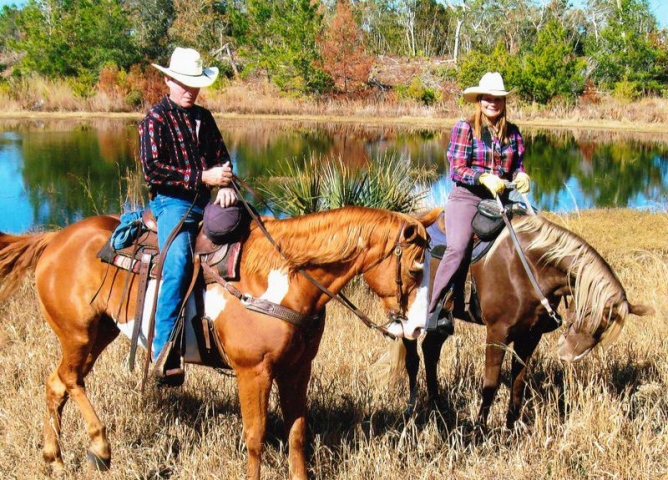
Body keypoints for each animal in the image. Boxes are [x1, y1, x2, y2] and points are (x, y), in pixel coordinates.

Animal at [1, 206, 444, 480]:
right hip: (78, 333)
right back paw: (100, 446)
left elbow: (297, 432)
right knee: (69, 380)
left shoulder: (297, 369)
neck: (281, 279)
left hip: (99, 333)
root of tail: (54, 239)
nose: (419, 328)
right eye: (414, 267)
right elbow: (256, 437)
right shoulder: (253, 372)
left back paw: (56, 460)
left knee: (57, 384)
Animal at [388, 212, 656, 430]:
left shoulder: (530, 335)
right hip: (408, 315)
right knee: (413, 359)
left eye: (602, 329)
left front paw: (511, 427)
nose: (567, 355)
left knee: (430, 350)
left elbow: (518, 382)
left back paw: (438, 407)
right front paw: (480, 429)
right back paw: (413, 408)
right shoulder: (497, 333)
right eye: (589, 314)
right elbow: (491, 383)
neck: (528, 265)